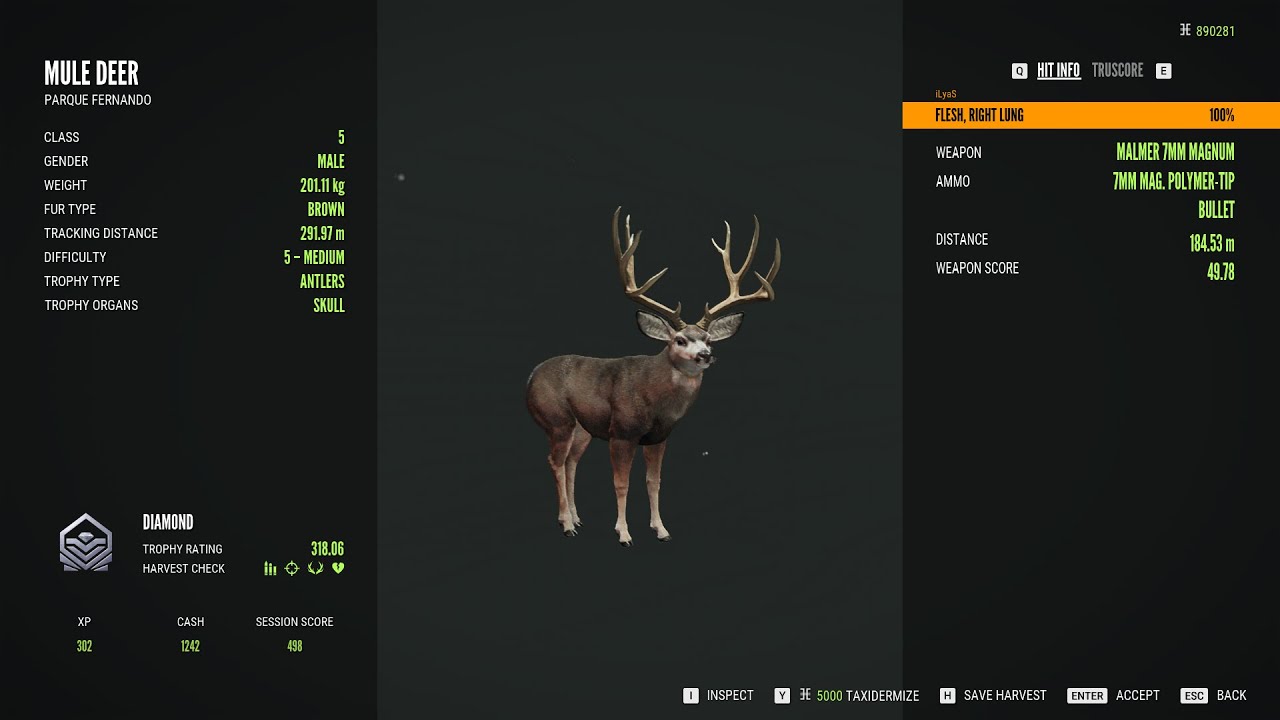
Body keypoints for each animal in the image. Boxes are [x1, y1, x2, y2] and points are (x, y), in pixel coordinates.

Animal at [526, 207, 780, 546]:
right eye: (680, 340)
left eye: (708, 340)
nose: (705, 355)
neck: (657, 400)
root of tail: (530, 377)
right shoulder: (621, 433)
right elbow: (621, 483)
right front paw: (624, 534)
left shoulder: (659, 437)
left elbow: (653, 482)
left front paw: (661, 529)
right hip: (557, 420)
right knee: (555, 461)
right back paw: (567, 524)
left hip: (582, 429)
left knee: (570, 463)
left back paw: (575, 518)